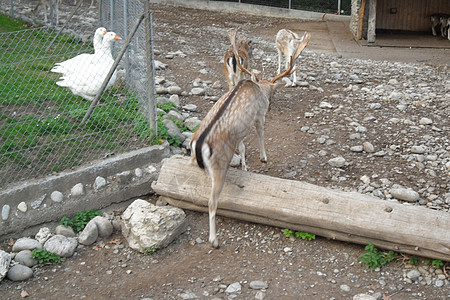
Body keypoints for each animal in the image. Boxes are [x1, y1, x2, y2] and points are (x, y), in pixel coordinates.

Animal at [189, 28, 310, 248]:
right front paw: (263, 158)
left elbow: (243, 148)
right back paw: (214, 240)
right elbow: (261, 134)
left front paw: (245, 167)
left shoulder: (240, 132)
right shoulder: (259, 116)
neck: (258, 87)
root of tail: (199, 143)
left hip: (193, 160)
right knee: (211, 202)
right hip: (220, 166)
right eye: (273, 94)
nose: (272, 102)